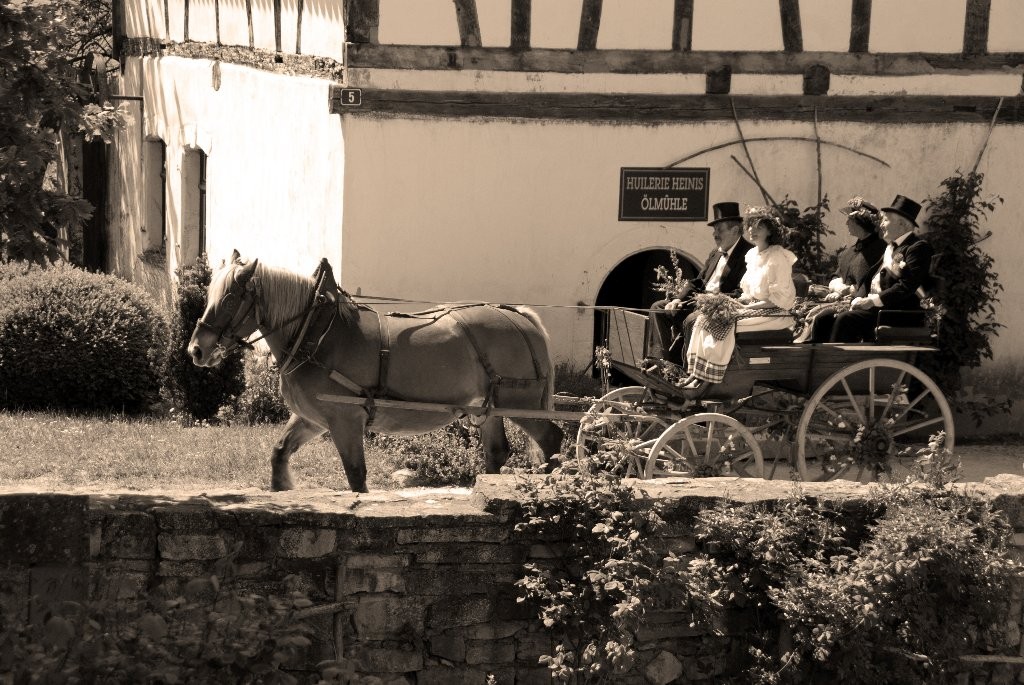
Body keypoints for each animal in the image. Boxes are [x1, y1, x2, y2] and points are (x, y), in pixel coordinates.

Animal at [188, 250, 565, 491]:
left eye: (230, 299)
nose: (196, 350)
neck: (315, 332)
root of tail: (518, 316)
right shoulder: (313, 419)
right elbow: (279, 454)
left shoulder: (345, 420)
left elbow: (356, 475)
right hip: (486, 408)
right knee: (497, 452)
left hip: (522, 404)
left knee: (552, 439)